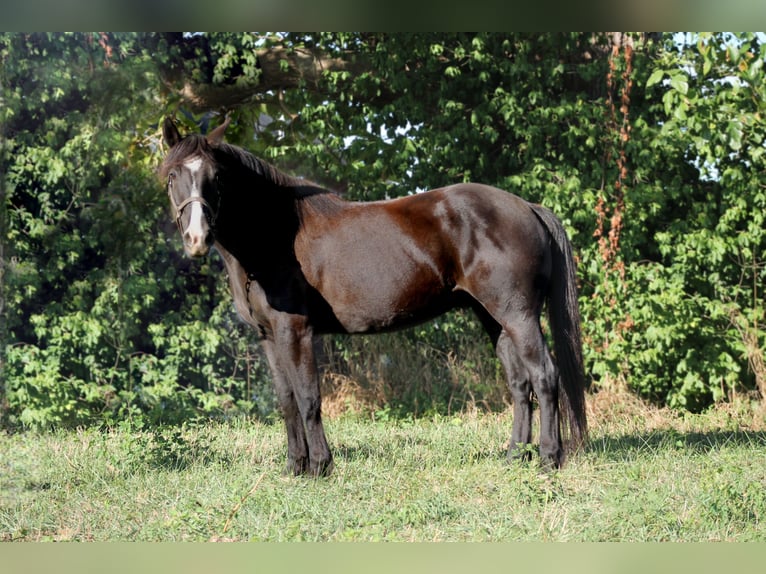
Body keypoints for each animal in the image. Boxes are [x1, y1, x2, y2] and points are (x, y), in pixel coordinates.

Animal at [160, 116, 588, 477]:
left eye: (216, 177)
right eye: (172, 175)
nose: (197, 239)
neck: (274, 237)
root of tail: (527, 207)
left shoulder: (296, 331)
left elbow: (309, 397)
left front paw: (320, 466)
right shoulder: (268, 336)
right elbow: (286, 400)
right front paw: (294, 466)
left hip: (518, 315)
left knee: (544, 376)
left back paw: (549, 458)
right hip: (493, 319)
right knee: (519, 383)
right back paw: (515, 456)